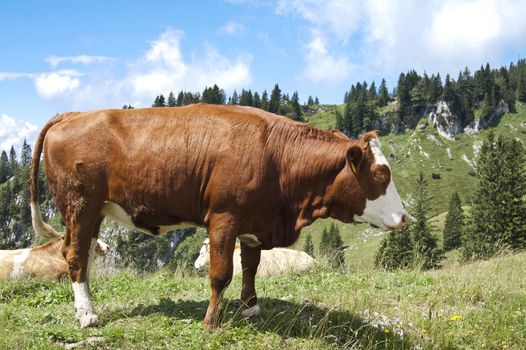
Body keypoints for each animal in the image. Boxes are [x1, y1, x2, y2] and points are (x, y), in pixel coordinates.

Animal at [29, 104, 408, 328]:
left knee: (81, 254)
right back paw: (88, 315)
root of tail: (75, 113)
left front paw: (251, 309)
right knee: (76, 255)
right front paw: (211, 322)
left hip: (93, 212)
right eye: (380, 174)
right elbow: (221, 274)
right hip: (80, 204)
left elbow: (250, 268)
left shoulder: (255, 222)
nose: (405, 217)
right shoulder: (224, 217)